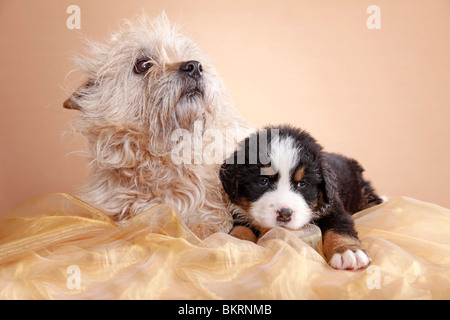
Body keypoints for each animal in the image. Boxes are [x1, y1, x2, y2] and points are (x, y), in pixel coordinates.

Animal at [220, 125, 382, 270]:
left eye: (302, 183)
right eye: (263, 181)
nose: (284, 214)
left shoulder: (332, 206)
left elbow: (339, 227)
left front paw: (348, 251)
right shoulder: (239, 213)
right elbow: (241, 228)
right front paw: (236, 244)